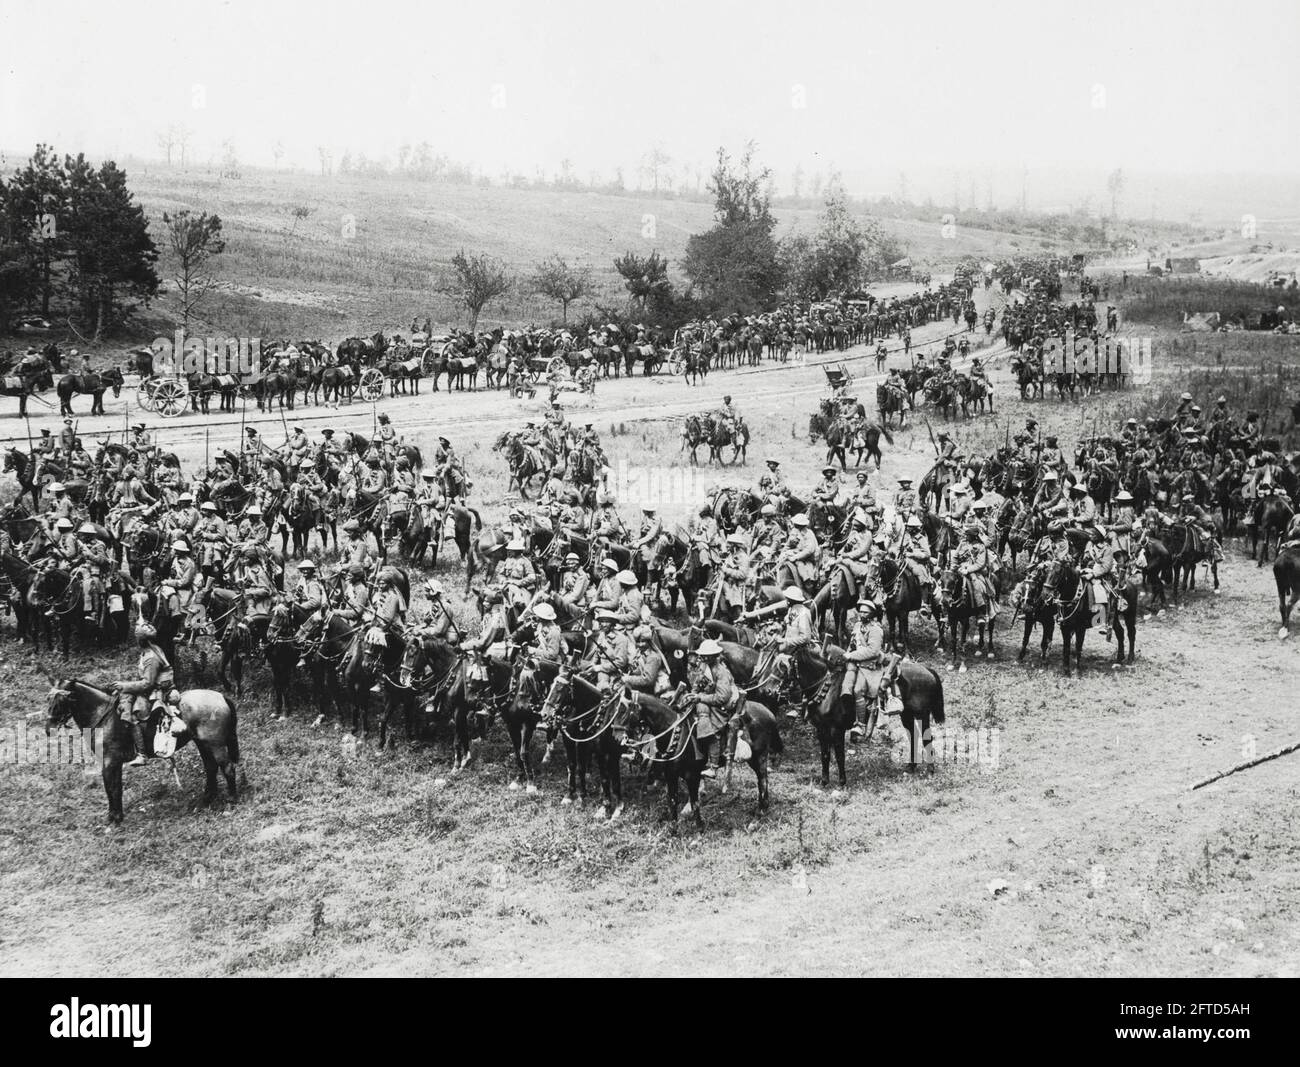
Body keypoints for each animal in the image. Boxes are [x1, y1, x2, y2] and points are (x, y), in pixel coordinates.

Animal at [45, 681, 240, 821]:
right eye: (49, 699)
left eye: (62, 700)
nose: (49, 728)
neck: (104, 716)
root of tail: (221, 696)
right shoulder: (114, 763)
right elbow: (116, 787)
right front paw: (117, 815)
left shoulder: (109, 762)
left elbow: (111, 788)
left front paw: (113, 817)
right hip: (203, 744)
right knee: (211, 768)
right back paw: (206, 799)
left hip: (215, 745)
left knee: (228, 768)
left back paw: (231, 800)